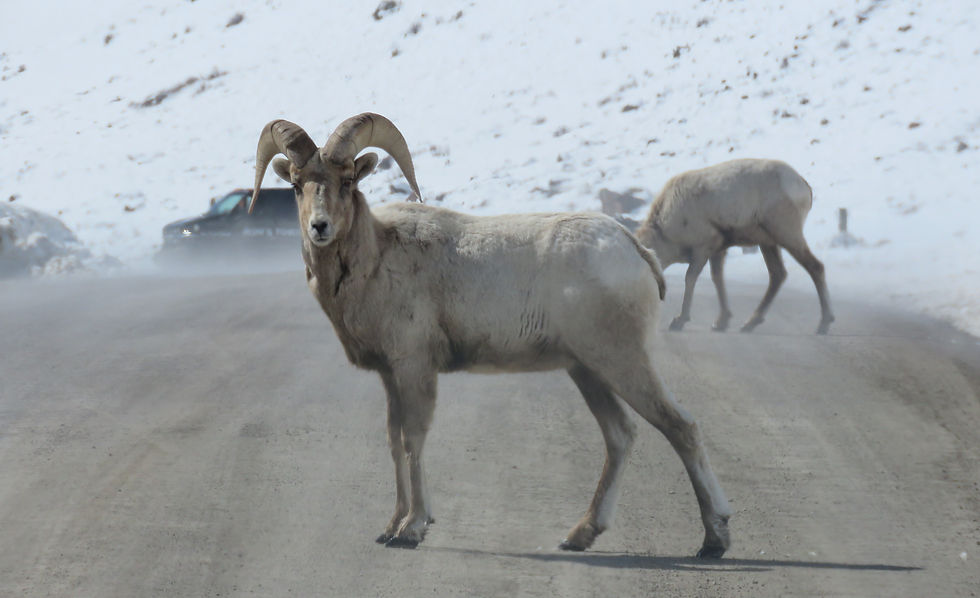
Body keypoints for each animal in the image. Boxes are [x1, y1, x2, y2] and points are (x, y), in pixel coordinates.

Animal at [250, 113, 731, 557]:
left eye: (347, 180)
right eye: (297, 185)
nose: (320, 227)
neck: (376, 259)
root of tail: (635, 250)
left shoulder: (414, 369)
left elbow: (412, 440)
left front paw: (412, 529)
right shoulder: (391, 376)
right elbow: (393, 442)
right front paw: (391, 526)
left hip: (622, 361)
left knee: (681, 428)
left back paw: (714, 540)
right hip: (587, 370)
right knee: (620, 436)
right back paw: (580, 535)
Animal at [634, 159, 834, 334]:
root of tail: (803, 186)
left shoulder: (703, 248)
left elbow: (690, 278)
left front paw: (679, 321)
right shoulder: (717, 250)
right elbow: (717, 278)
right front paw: (720, 322)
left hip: (788, 235)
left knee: (815, 267)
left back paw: (823, 324)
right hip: (768, 243)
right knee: (778, 274)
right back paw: (749, 324)